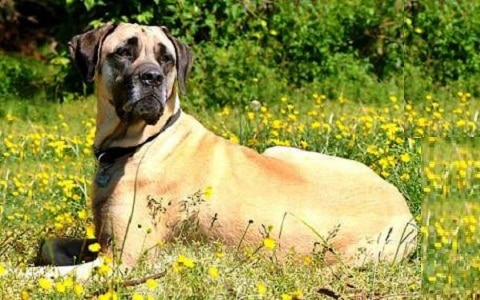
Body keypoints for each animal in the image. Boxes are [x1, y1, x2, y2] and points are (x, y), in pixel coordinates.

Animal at [32, 22, 416, 276]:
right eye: (124, 51)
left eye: (166, 58)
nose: (152, 78)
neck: (141, 143)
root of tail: (409, 218)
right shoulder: (101, 241)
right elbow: (49, 245)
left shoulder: (122, 261)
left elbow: (43, 275)